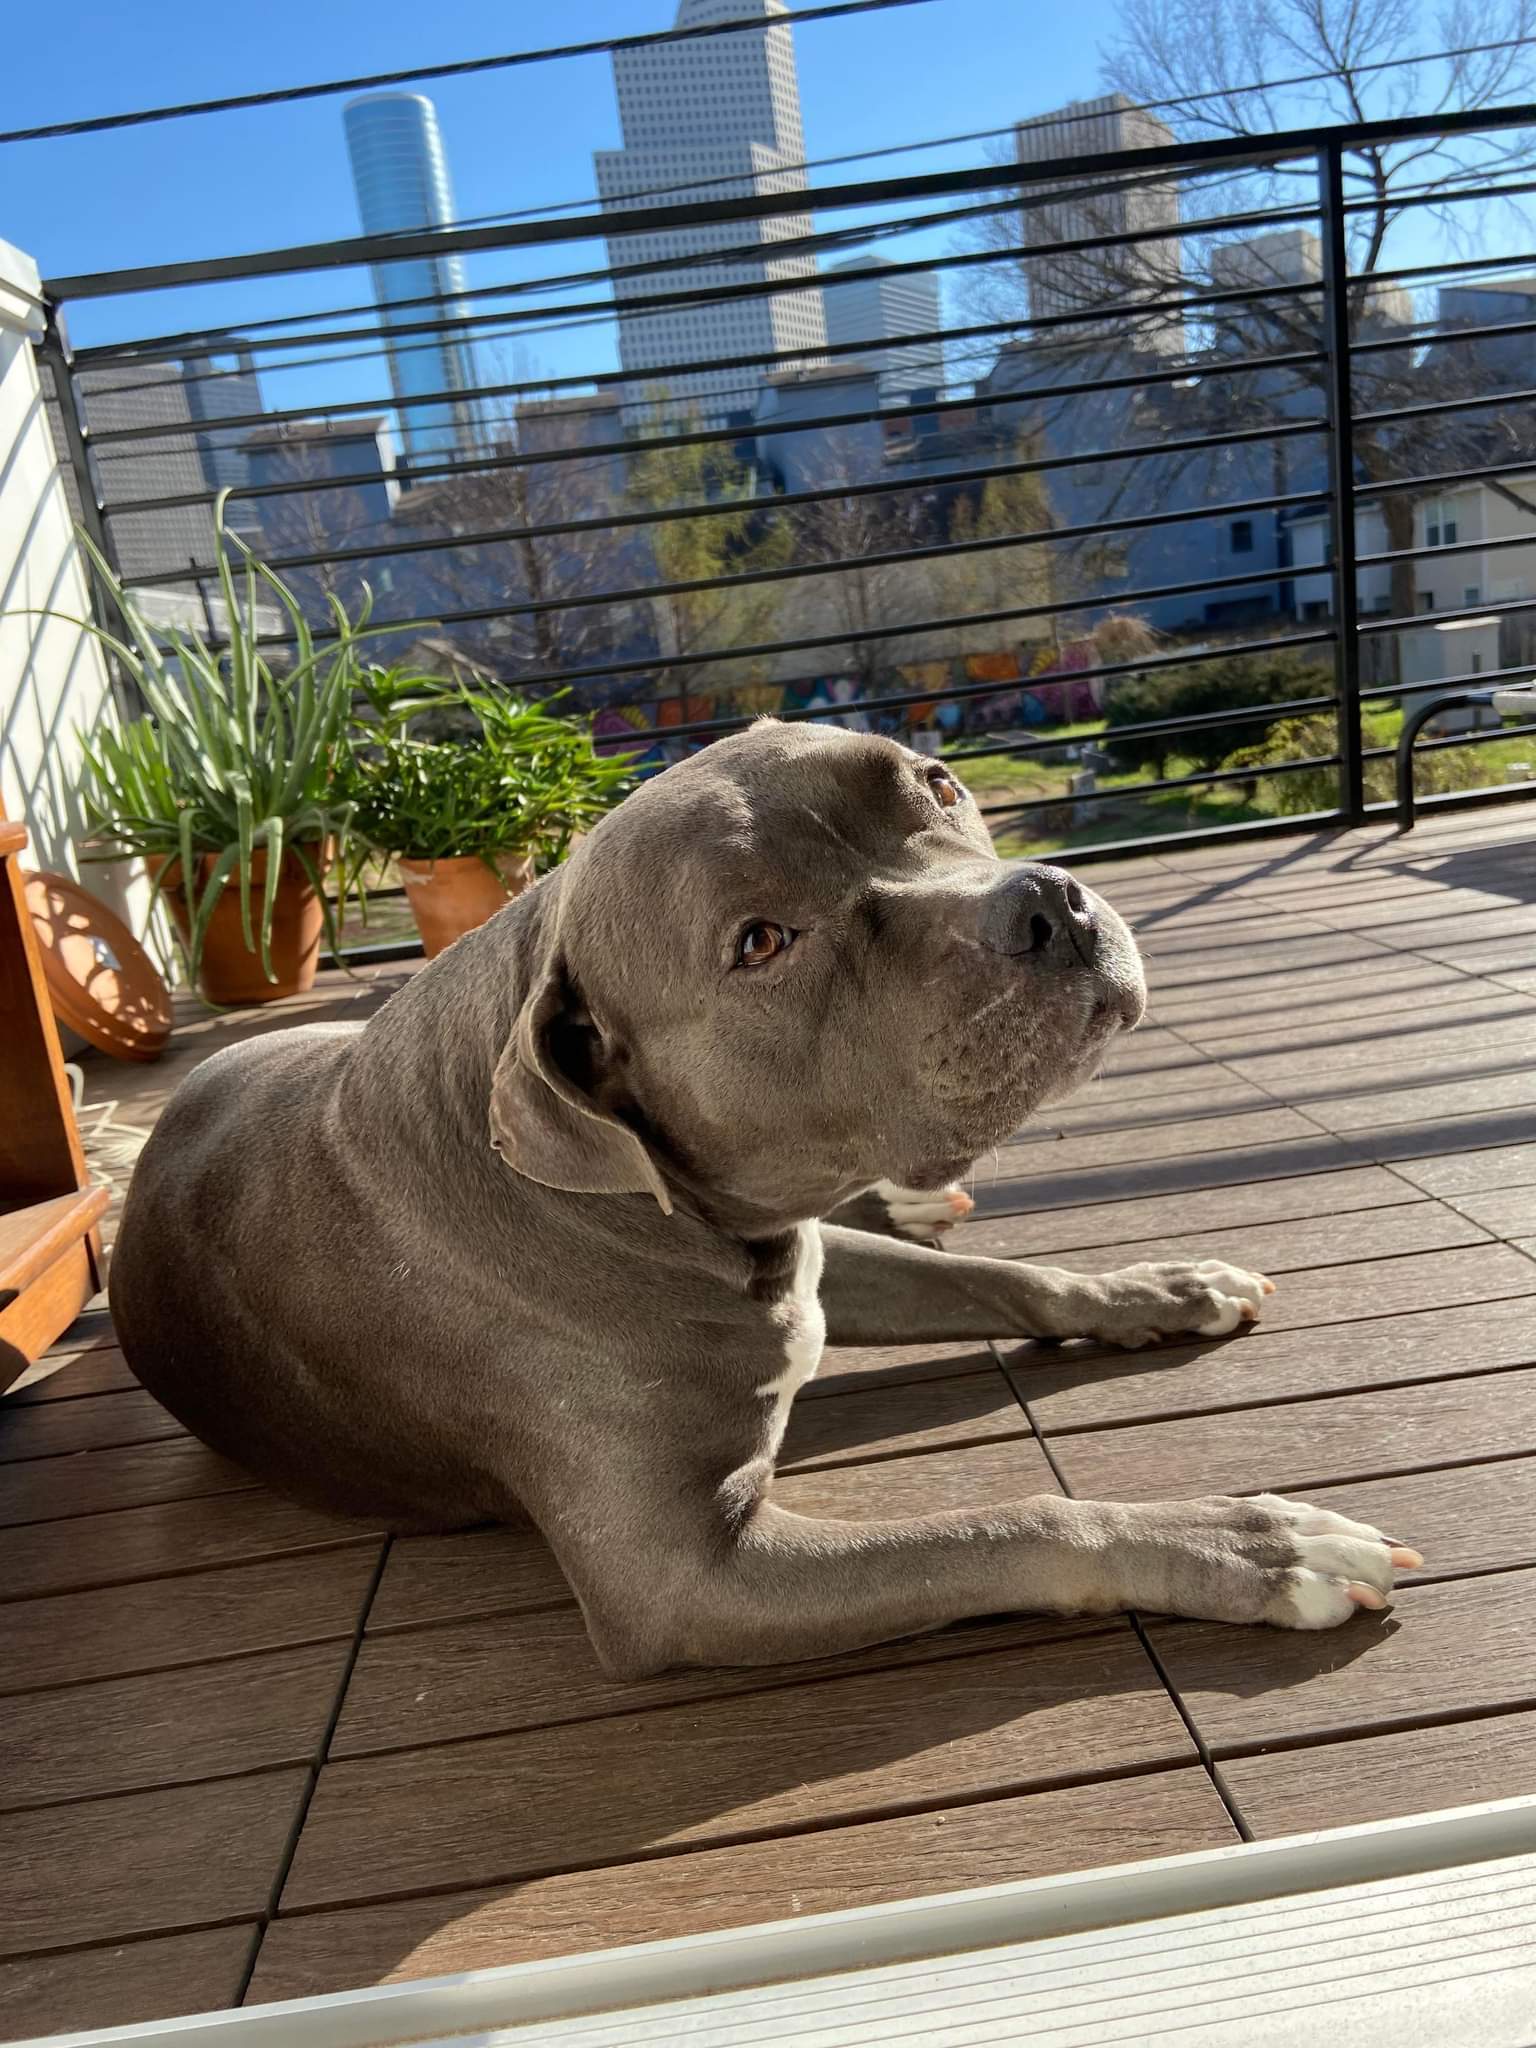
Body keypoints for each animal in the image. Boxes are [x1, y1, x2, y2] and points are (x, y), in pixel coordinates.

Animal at [114, 724, 1425, 1679]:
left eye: (938, 781)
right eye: (759, 941)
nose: (1050, 903)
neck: (665, 1218)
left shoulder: (808, 1259)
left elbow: (998, 1274)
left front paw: (1158, 1285)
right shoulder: (691, 1577)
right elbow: (1021, 1520)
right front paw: (1248, 1543)